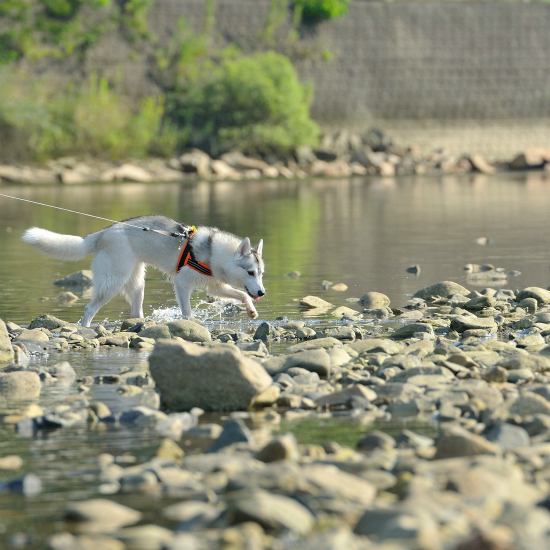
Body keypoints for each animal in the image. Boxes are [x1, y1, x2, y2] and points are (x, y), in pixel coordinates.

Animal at [22, 217, 268, 328]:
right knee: (89, 308)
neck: (215, 251)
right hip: (112, 283)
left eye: (261, 273)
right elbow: (187, 312)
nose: (263, 293)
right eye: (250, 272)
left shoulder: (216, 286)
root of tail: (102, 233)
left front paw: (252, 310)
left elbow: (242, 294)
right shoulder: (182, 284)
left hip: (137, 283)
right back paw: (85, 329)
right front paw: (189, 323)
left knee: (134, 312)